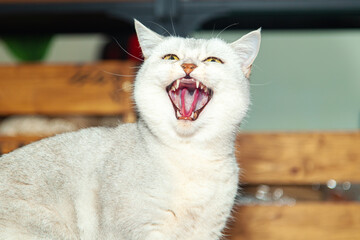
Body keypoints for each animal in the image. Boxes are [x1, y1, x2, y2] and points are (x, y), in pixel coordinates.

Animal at [0, 20, 260, 240]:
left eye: (213, 60)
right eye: (171, 57)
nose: (188, 65)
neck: (190, 156)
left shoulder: (206, 231)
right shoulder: (140, 230)